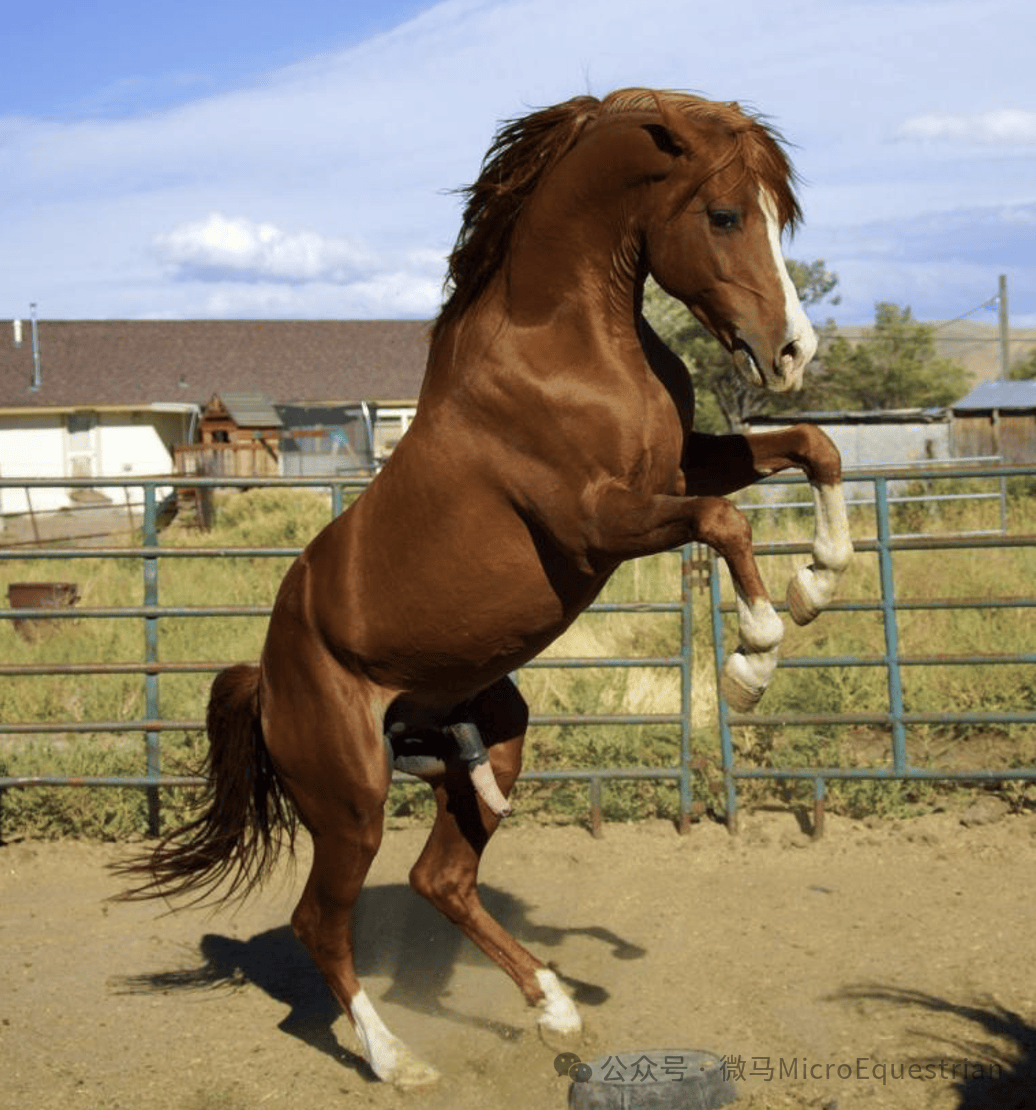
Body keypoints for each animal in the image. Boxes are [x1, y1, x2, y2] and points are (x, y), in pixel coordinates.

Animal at [119, 86, 848, 1083]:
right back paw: (397, 1060)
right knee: (322, 922)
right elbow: (725, 523)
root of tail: (265, 680)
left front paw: (822, 576)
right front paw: (753, 661)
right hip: (351, 803)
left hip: (493, 736)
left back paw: (555, 1006)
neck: (568, 347)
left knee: (442, 880)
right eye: (726, 215)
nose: (792, 352)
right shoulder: (599, 519)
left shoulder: (682, 463)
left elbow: (815, 447)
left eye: (779, 216)